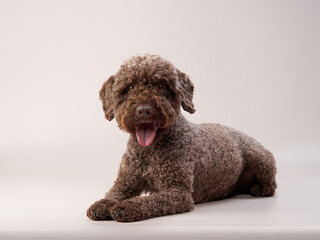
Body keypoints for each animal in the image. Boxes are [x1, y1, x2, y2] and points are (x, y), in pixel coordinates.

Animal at [86, 53, 276, 222]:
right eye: (130, 87)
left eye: (161, 86)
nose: (144, 110)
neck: (150, 151)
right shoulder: (125, 182)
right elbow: (113, 193)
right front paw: (103, 203)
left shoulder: (178, 193)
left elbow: (151, 201)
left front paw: (128, 206)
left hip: (258, 157)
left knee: (271, 181)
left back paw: (262, 188)